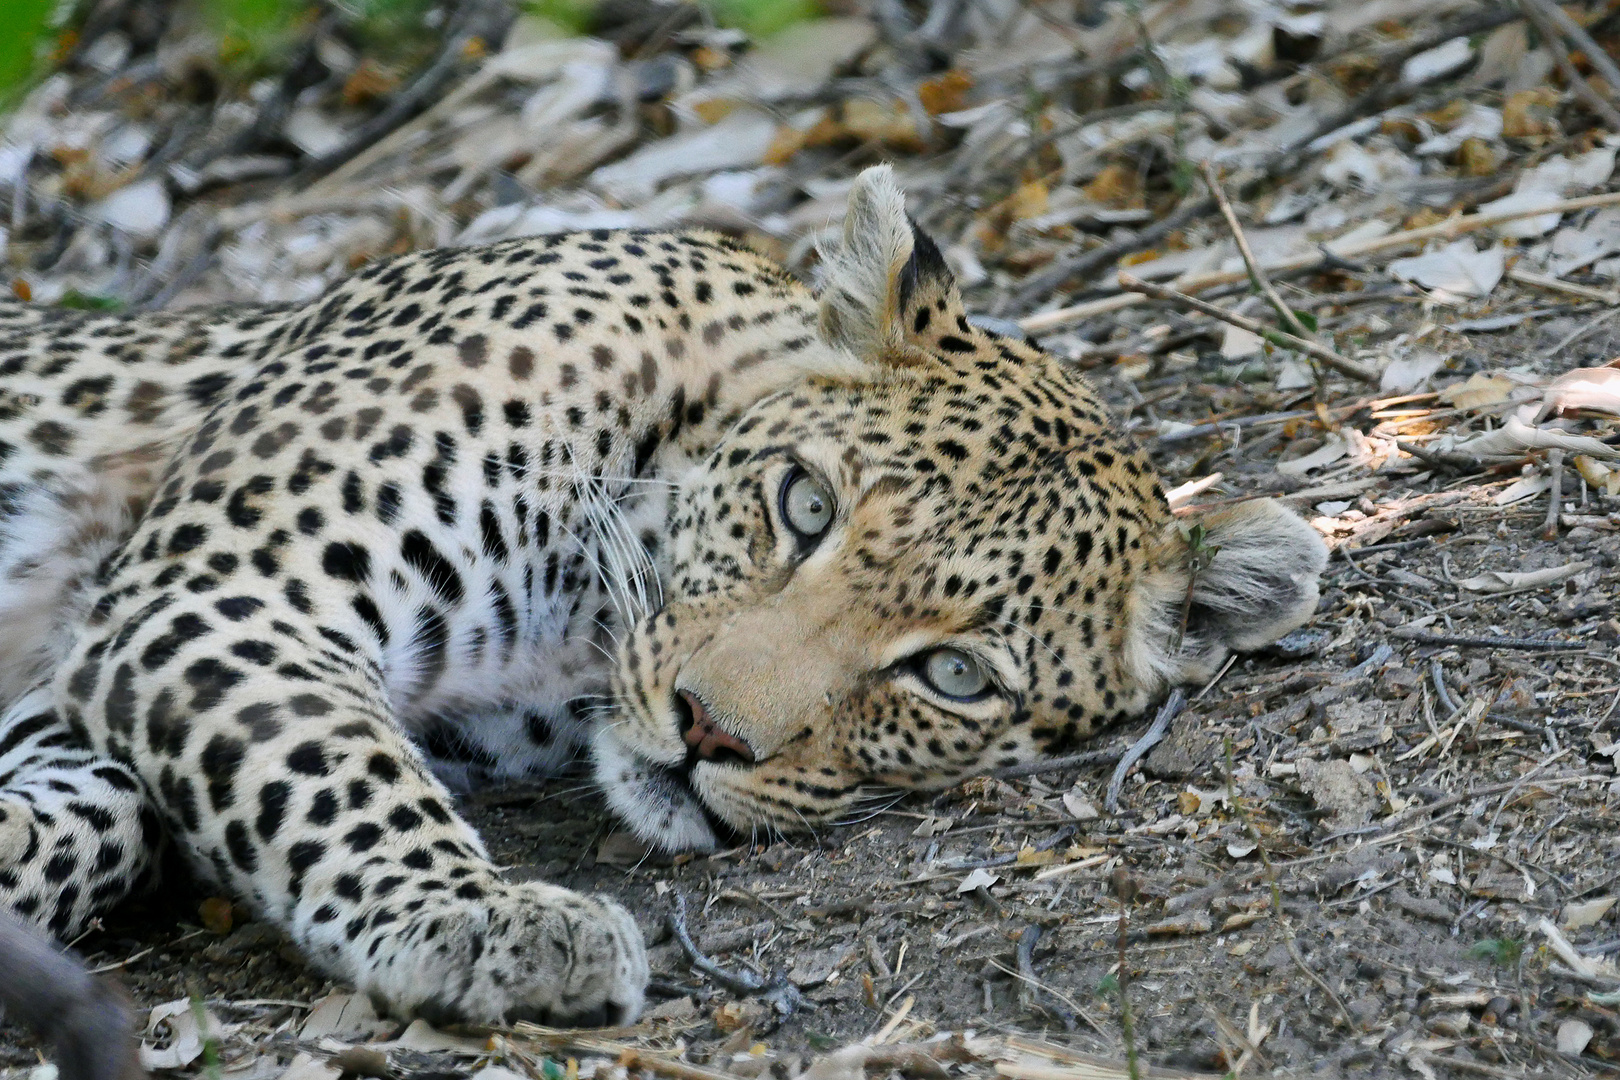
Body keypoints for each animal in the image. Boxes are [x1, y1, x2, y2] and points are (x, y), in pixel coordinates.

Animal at [0, 166, 1321, 1029]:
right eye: (805, 504)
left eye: (952, 675)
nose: (705, 734)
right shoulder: (223, 590)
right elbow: (332, 771)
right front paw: (482, 919)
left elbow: (113, 812)